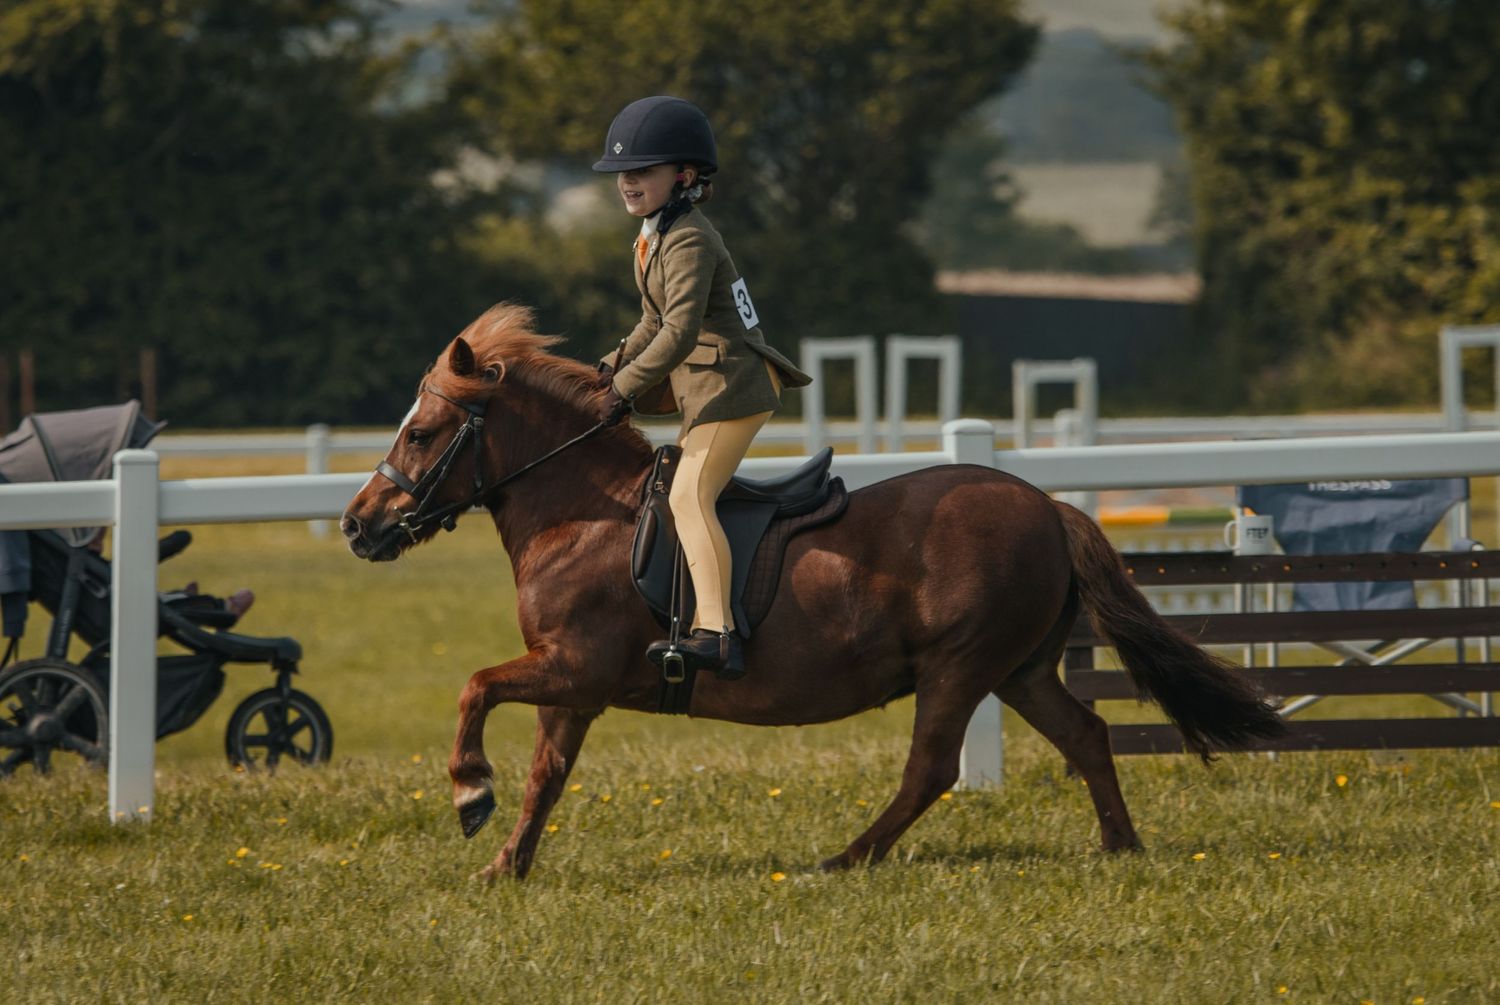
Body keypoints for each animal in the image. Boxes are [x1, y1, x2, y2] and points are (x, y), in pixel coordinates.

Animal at [340, 304, 1284, 882]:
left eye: (422, 432)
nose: (357, 525)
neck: (582, 513)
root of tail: (1048, 505)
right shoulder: (569, 685)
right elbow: (546, 776)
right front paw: (504, 860)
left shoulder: (576, 667)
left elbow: (474, 689)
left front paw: (469, 790)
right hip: (1017, 669)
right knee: (1084, 734)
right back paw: (1120, 846)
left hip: (959, 665)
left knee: (931, 767)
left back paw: (846, 859)